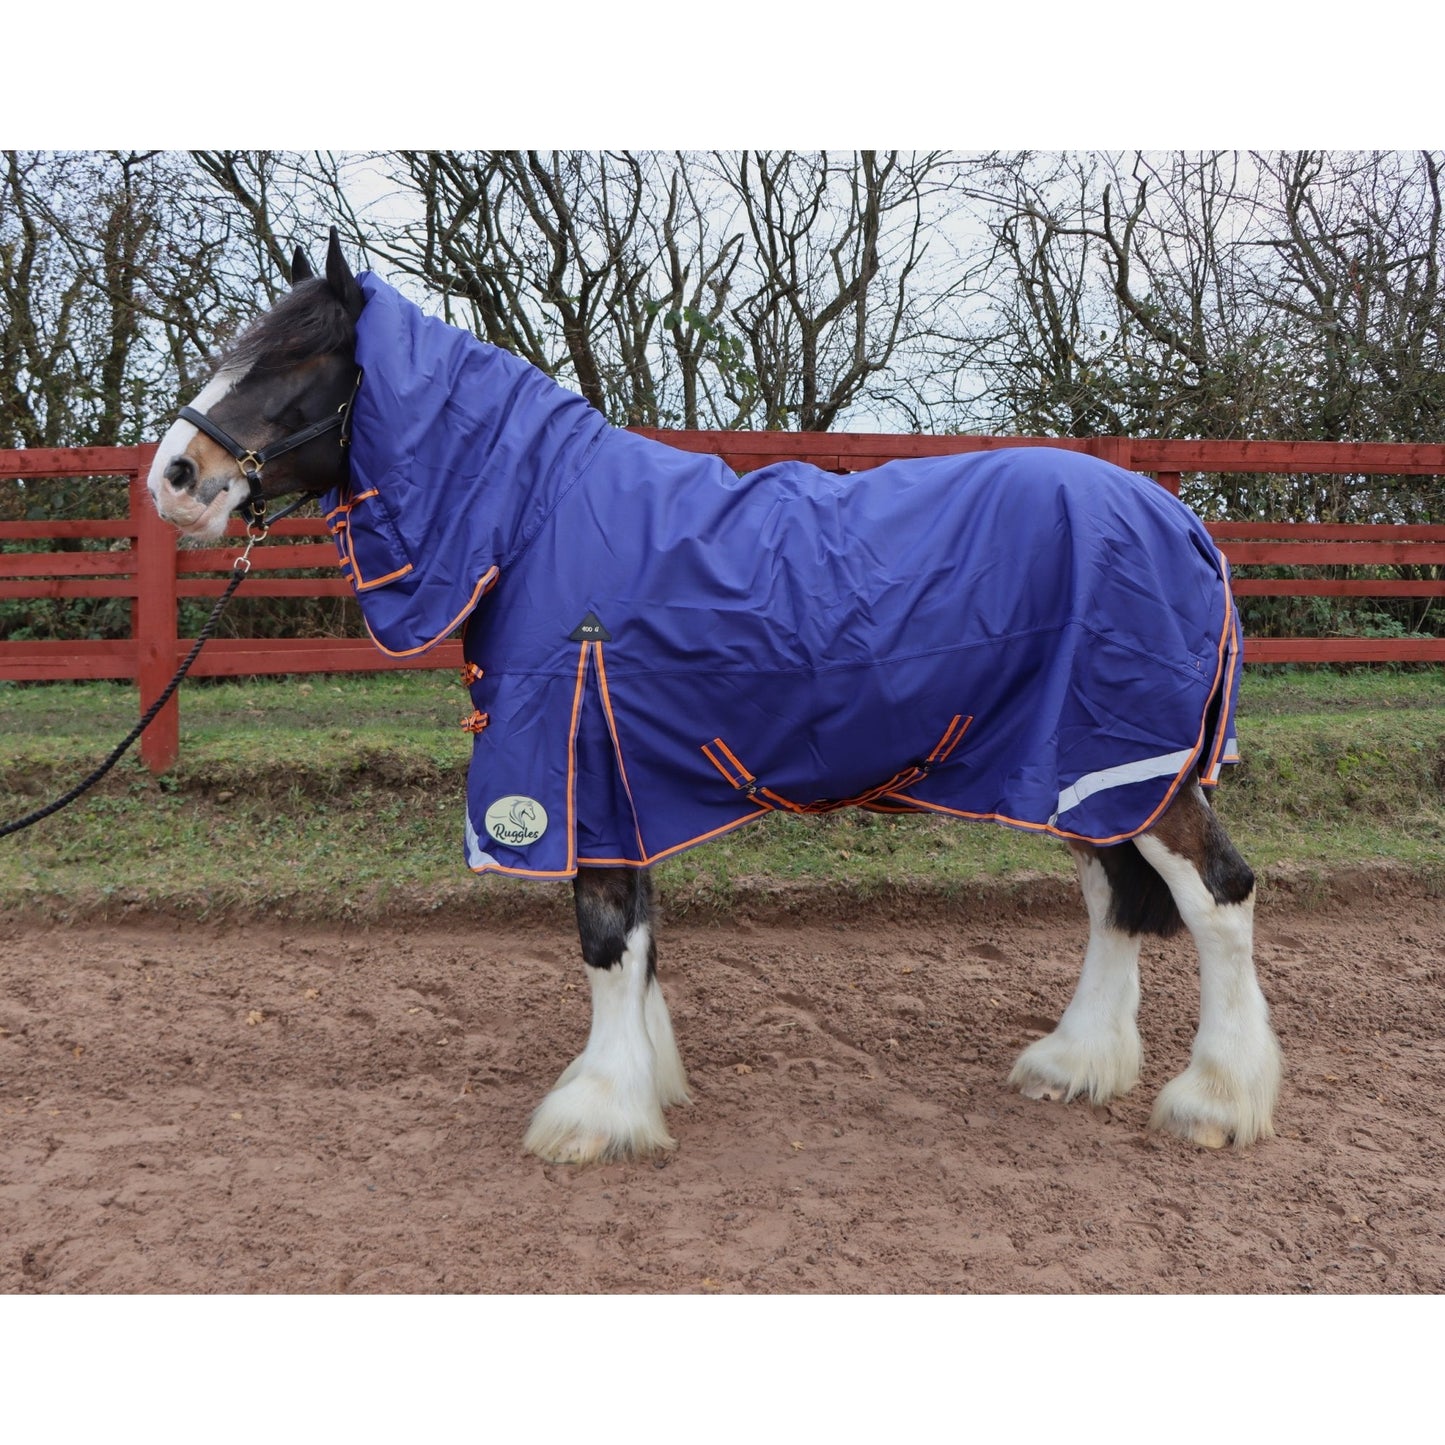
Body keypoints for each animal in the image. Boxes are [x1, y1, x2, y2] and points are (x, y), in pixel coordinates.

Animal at [147, 229, 1283, 1165]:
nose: (173, 475)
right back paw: (1076, 1063)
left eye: (297, 356)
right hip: (1079, 772)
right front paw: (642, 1085)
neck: (535, 519)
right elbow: (640, 941)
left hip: (1130, 761)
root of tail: (1182, 522)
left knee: (1214, 895)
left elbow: (605, 939)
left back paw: (1214, 1099)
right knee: (1112, 897)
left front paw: (593, 1115)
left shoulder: (570, 759)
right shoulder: (618, 770)